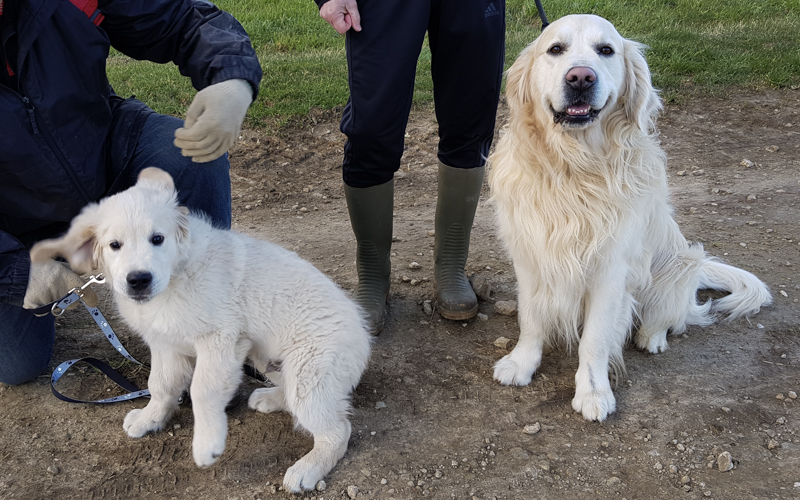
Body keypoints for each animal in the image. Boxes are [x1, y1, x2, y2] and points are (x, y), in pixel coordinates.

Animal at [28, 169, 372, 492]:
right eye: (115, 245)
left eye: (157, 239)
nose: (138, 280)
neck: (175, 277)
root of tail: (364, 337)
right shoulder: (165, 344)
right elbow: (160, 384)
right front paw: (150, 418)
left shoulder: (219, 340)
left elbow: (202, 391)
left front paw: (207, 446)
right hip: (268, 360)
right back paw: (270, 398)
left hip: (309, 373)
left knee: (337, 430)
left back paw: (307, 469)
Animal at [484, 14, 772, 422]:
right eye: (555, 49)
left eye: (606, 50)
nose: (581, 78)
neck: (572, 167)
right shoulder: (530, 257)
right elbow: (531, 317)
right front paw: (521, 363)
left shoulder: (611, 269)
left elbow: (594, 340)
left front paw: (593, 392)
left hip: (680, 265)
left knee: (670, 315)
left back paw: (652, 337)